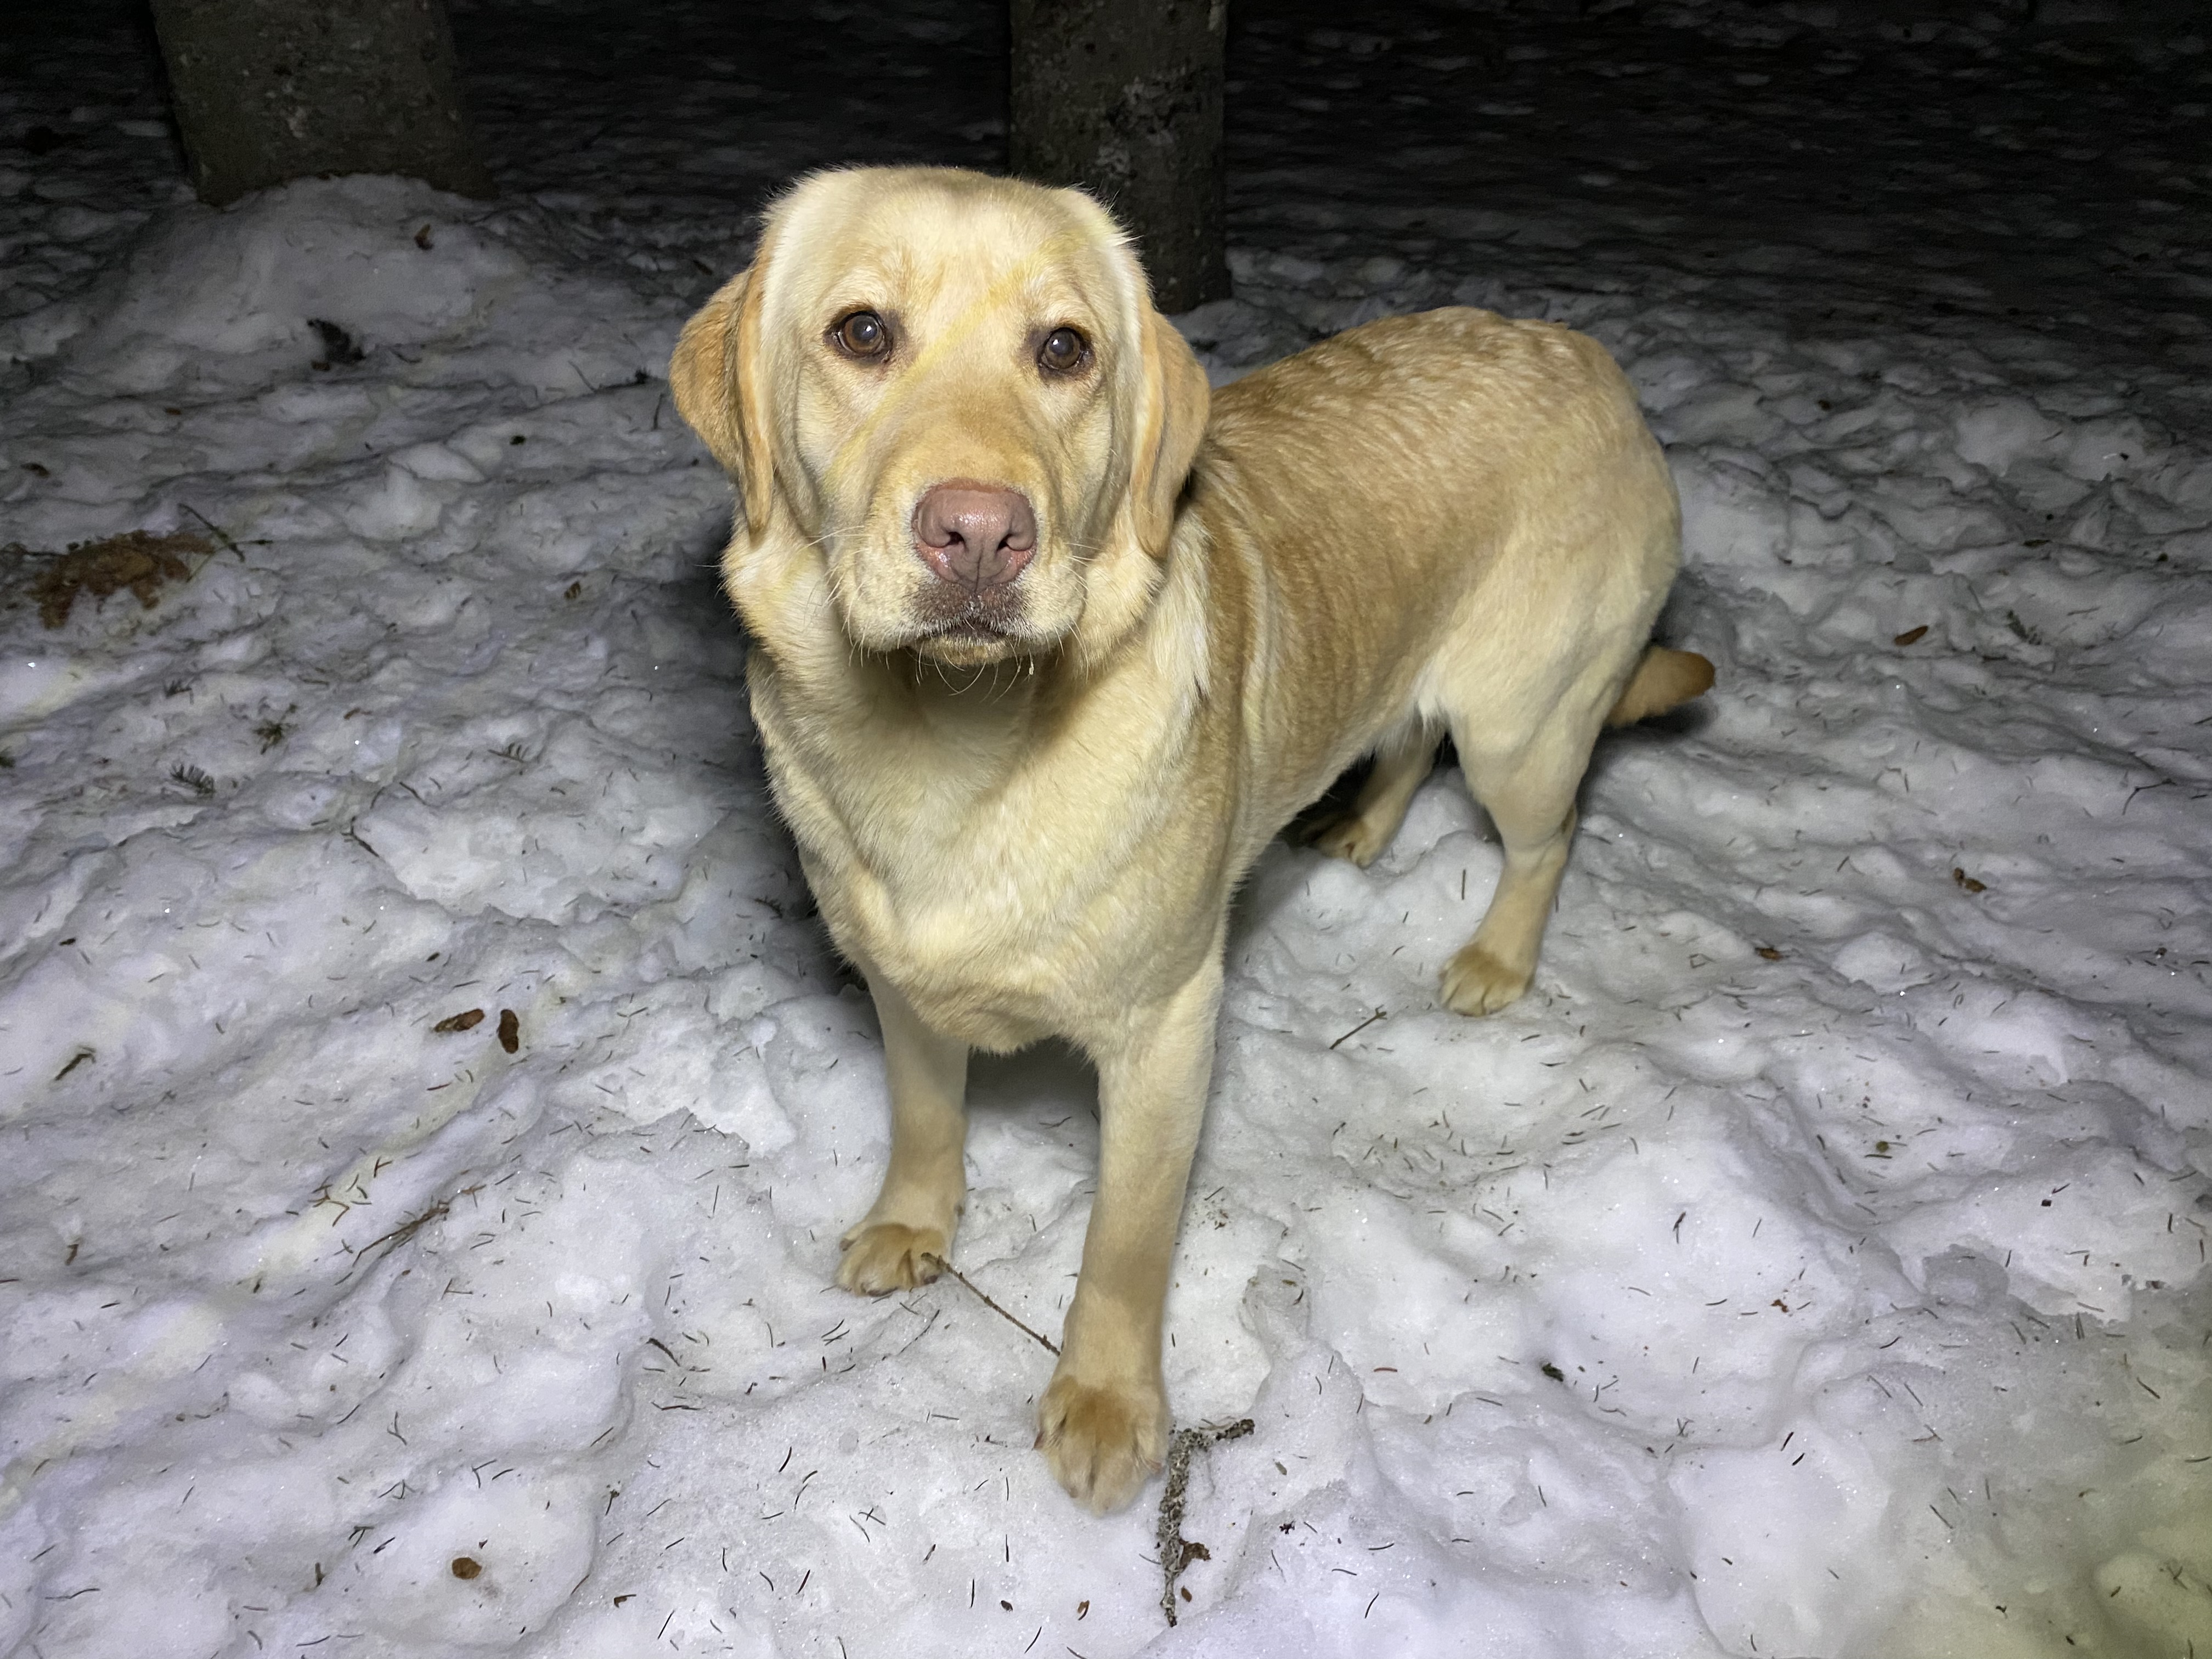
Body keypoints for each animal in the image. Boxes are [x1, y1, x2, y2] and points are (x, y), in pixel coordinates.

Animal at [671, 165, 1711, 1513]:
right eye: (860, 333)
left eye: (1065, 350)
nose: (980, 533)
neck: (950, 741)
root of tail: (1585, 354)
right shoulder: (899, 982)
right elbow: (924, 1114)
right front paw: (914, 1222)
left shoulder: (1168, 1029)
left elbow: (1126, 1241)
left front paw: (1108, 1403)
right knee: (1404, 735)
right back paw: (1360, 827)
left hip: (1520, 730)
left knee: (1551, 829)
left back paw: (1498, 959)